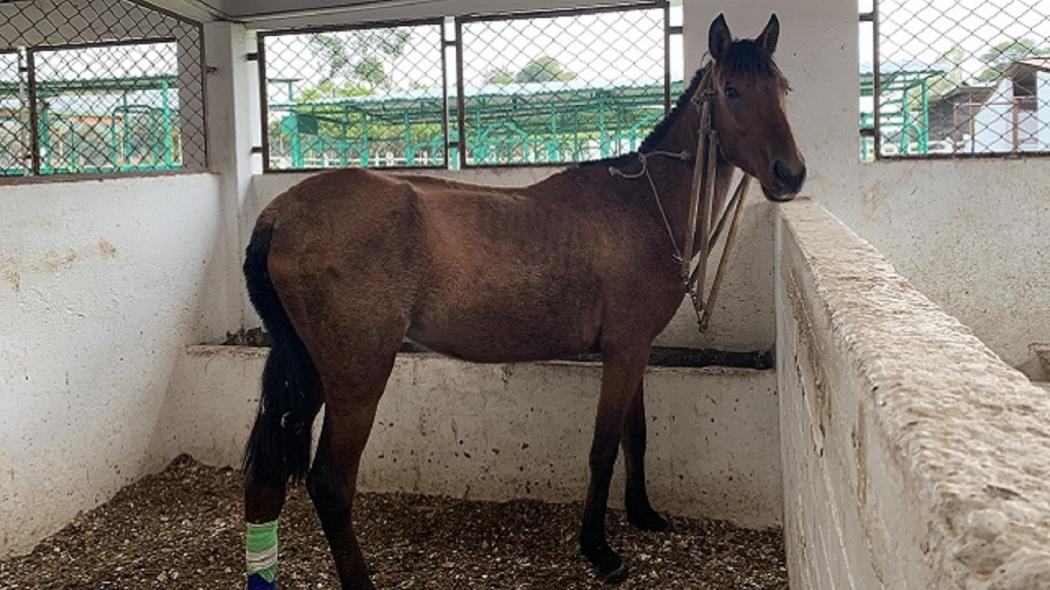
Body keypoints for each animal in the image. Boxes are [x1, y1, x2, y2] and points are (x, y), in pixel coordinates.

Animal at [240, 13, 805, 589]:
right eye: (732, 90)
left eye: (782, 88)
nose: (791, 174)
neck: (640, 207)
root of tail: (279, 215)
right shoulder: (623, 351)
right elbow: (604, 448)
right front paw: (599, 549)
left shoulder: (637, 348)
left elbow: (636, 435)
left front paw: (643, 513)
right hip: (356, 375)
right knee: (331, 482)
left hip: (308, 368)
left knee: (264, 481)